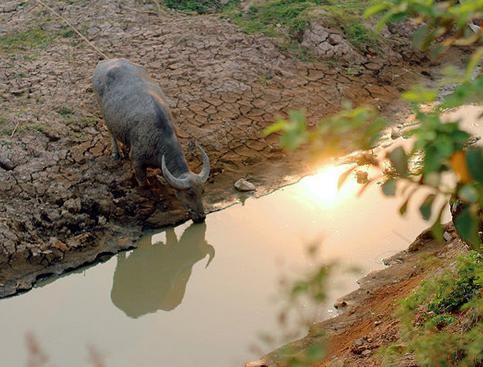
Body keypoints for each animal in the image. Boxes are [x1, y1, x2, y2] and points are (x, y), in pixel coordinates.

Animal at [92, 59, 210, 223]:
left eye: (202, 191)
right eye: (189, 194)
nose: (201, 216)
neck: (159, 141)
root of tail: (104, 62)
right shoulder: (137, 163)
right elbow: (144, 184)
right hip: (103, 112)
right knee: (110, 131)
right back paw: (117, 153)